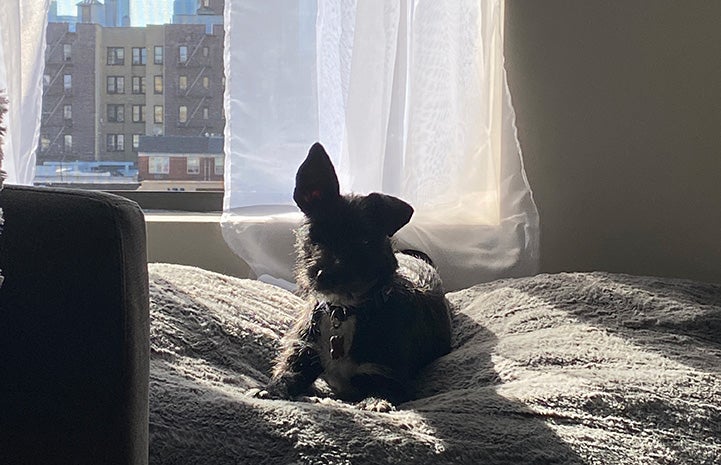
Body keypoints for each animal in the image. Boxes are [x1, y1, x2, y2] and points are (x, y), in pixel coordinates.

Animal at [258, 142, 450, 410]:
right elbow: (286, 374)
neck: (344, 310)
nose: (324, 275)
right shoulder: (303, 352)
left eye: (364, 241)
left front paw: (375, 403)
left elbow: (384, 392)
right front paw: (270, 390)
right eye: (315, 234)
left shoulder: (389, 374)